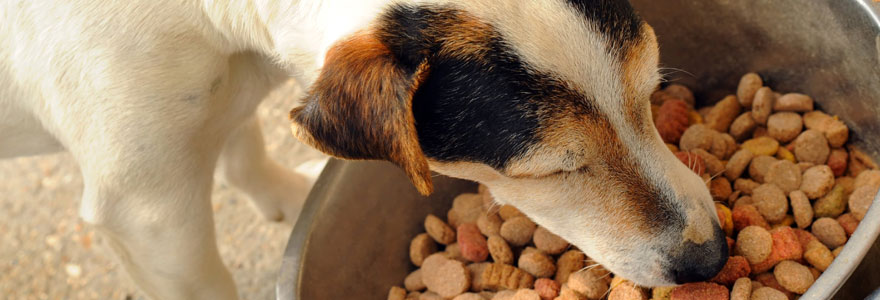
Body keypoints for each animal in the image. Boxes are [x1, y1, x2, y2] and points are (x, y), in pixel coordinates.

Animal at [1, 0, 728, 298]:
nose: (713, 259)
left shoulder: (211, 97)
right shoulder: (150, 214)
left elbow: (239, 146)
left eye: (650, 94)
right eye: (552, 171)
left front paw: (281, 196)